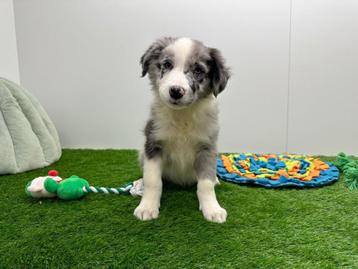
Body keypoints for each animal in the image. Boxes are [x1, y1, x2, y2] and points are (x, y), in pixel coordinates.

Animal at [134, 36, 229, 223]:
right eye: (167, 64)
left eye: (198, 70)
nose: (176, 91)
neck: (182, 116)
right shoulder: (153, 144)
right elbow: (152, 180)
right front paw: (147, 207)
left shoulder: (207, 148)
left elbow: (205, 184)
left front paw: (212, 209)